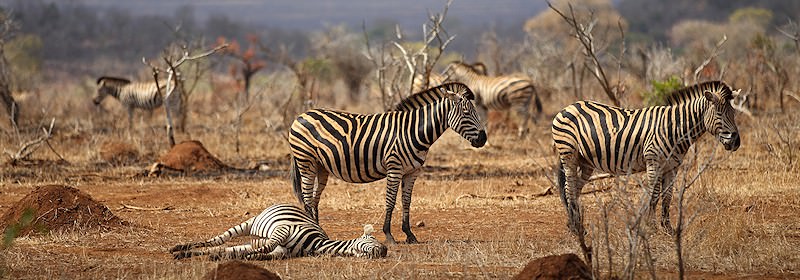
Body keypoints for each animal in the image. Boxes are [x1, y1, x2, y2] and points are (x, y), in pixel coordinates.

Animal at [170, 203, 390, 260]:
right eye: (374, 241)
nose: (385, 250)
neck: (317, 244)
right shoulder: (284, 230)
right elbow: (267, 246)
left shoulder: (282, 252)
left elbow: (264, 255)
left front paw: (246, 257)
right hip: (249, 223)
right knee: (217, 241)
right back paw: (179, 248)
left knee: (220, 248)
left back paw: (189, 254)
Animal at [290, 82, 488, 244]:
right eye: (466, 113)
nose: (483, 139)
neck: (412, 131)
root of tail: (301, 115)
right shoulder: (395, 168)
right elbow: (390, 201)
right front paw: (389, 235)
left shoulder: (412, 172)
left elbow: (406, 201)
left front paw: (409, 234)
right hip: (306, 162)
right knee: (307, 198)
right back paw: (313, 231)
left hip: (321, 166)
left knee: (314, 199)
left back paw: (320, 231)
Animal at [552, 80, 740, 236]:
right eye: (719, 114)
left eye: (733, 114)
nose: (736, 142)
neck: (674, 128)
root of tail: (569, 106)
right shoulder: (653, 162)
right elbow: (654, 195)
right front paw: (652, 227)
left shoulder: (672, 166)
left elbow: (667, 197)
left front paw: (668, 229)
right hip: (569, 154)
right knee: (569, 189)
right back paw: (577, 228)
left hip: (586, 163)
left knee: (574, 188)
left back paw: (574, 225)